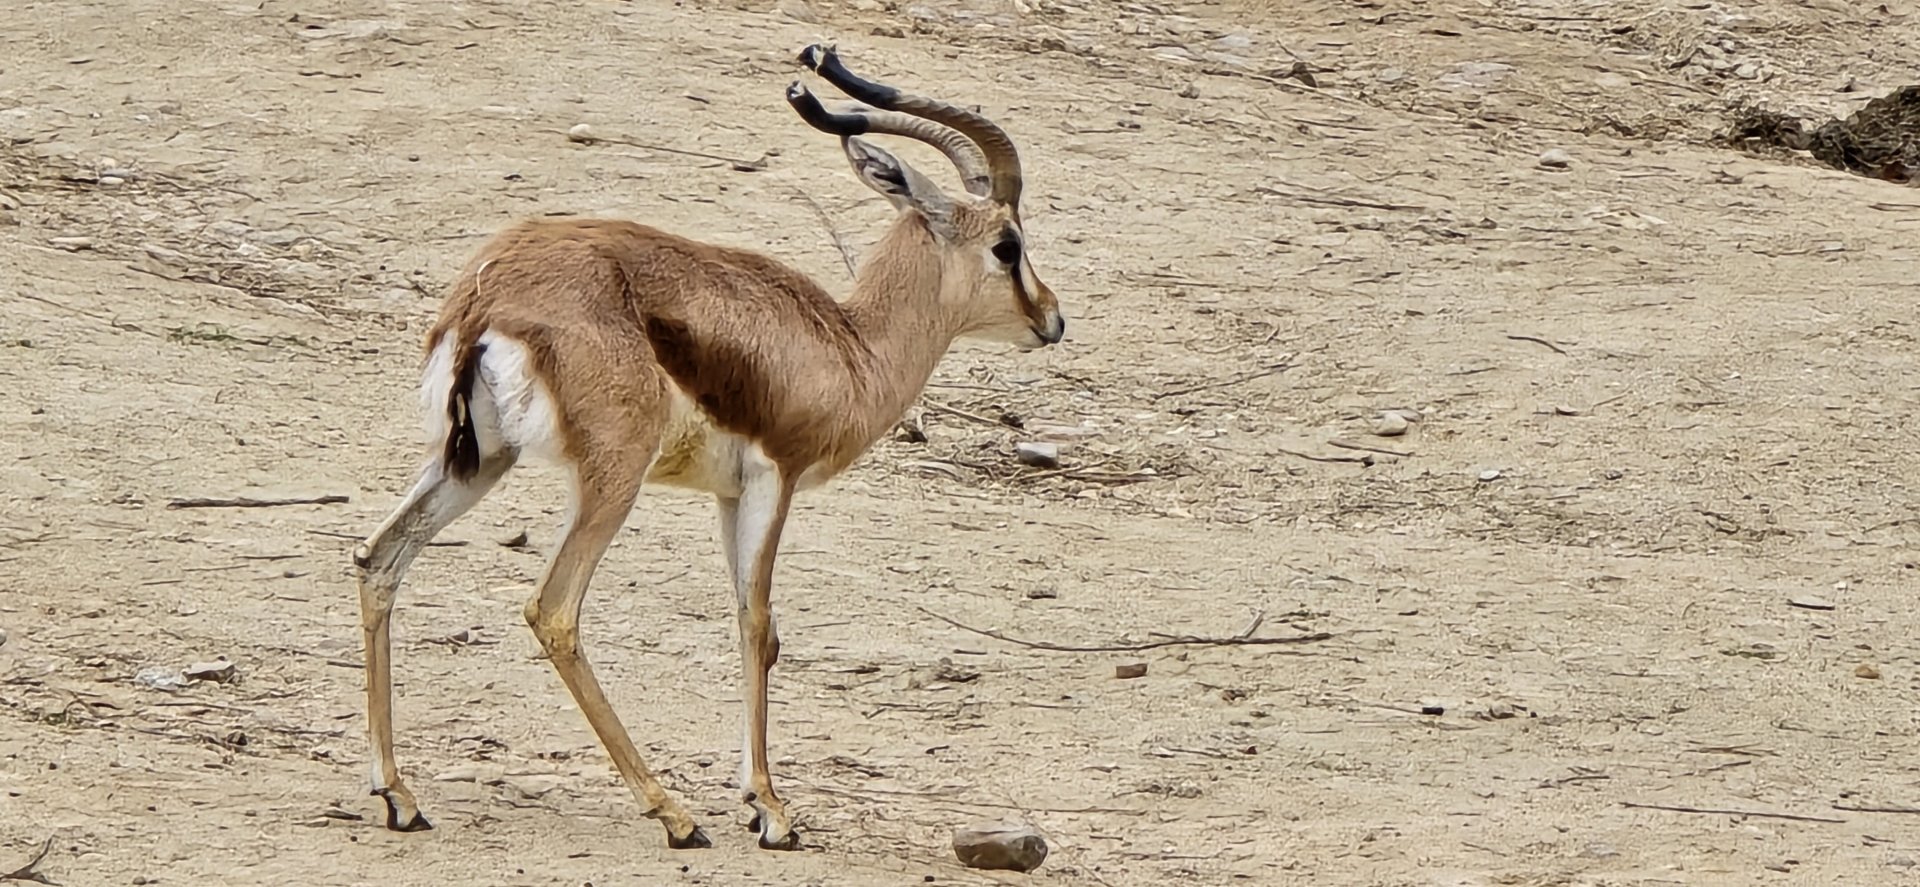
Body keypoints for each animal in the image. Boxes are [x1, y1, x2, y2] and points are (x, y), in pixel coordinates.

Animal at [350, 44, 1063, 852]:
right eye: (1007, 245)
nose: (1051, 318)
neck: (851, 347)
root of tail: (485, 297)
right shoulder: (774, 478)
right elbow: (758, 624)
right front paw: (770, 809)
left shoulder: (726, 494)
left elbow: (756, 622)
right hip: (611, 479)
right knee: (554, 609)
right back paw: (673, 812)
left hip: (478, 463)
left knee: (379, 558)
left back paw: (399, 794)